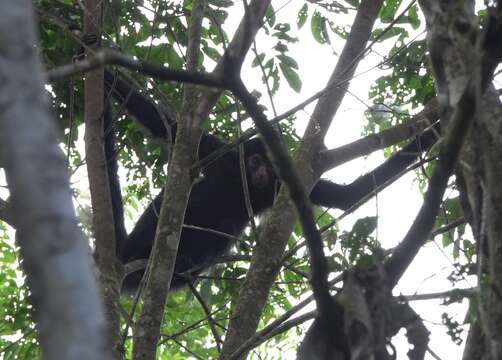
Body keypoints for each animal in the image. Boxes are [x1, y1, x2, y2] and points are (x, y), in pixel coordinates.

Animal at [103, 71, 440, 294]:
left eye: (269, 166)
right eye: (255, 162)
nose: (263, 173)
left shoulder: (282, 184)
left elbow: (347, 196)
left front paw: (431, 134)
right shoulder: (224, 154)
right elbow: (162, 124)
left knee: (224, 227)